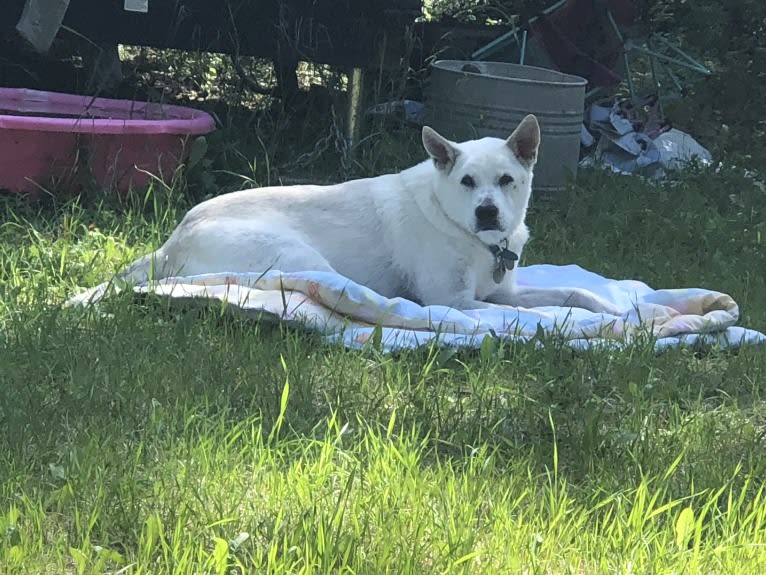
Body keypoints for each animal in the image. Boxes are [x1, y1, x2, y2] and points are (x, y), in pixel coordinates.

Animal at [70, 114, 616, 312]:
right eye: (466, 182)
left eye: (506, 181)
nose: (486, 212)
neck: (468, 235)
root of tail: (173, 238)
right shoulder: (457, 302)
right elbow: (536, 313)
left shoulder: (501, 290)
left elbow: (569, 292)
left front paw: (615, 309)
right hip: (298, 256)